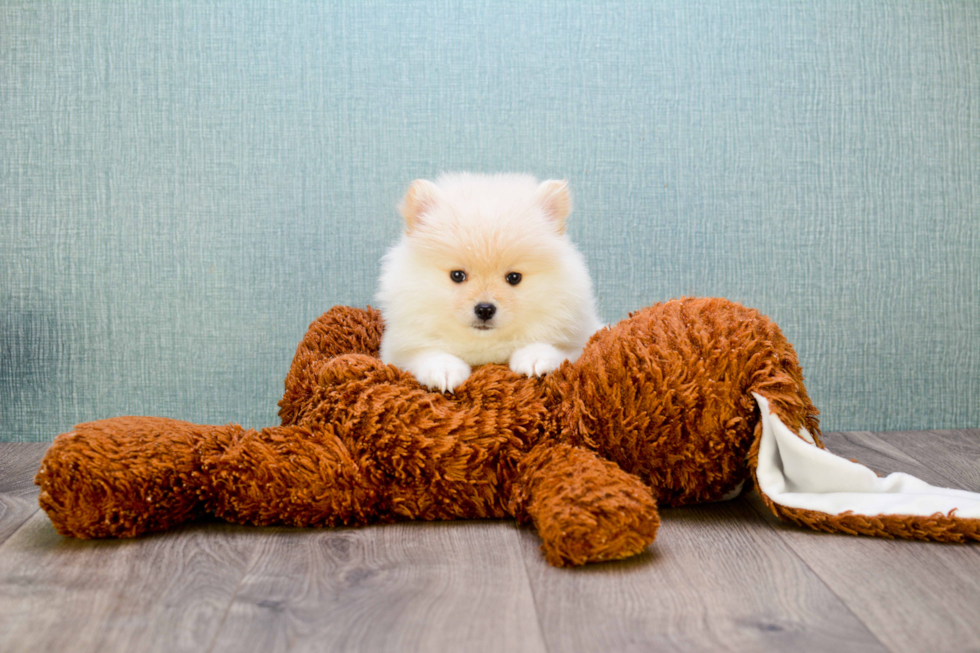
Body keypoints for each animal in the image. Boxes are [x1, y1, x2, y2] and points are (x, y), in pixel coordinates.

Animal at [378, 173, 600, 392]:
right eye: (457, 275)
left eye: (514, 277)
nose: (484, 309)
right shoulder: (398, 350)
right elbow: (427, 354)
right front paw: (444, 370)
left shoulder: (579, 340)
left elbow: (552, 348)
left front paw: (534, 358)